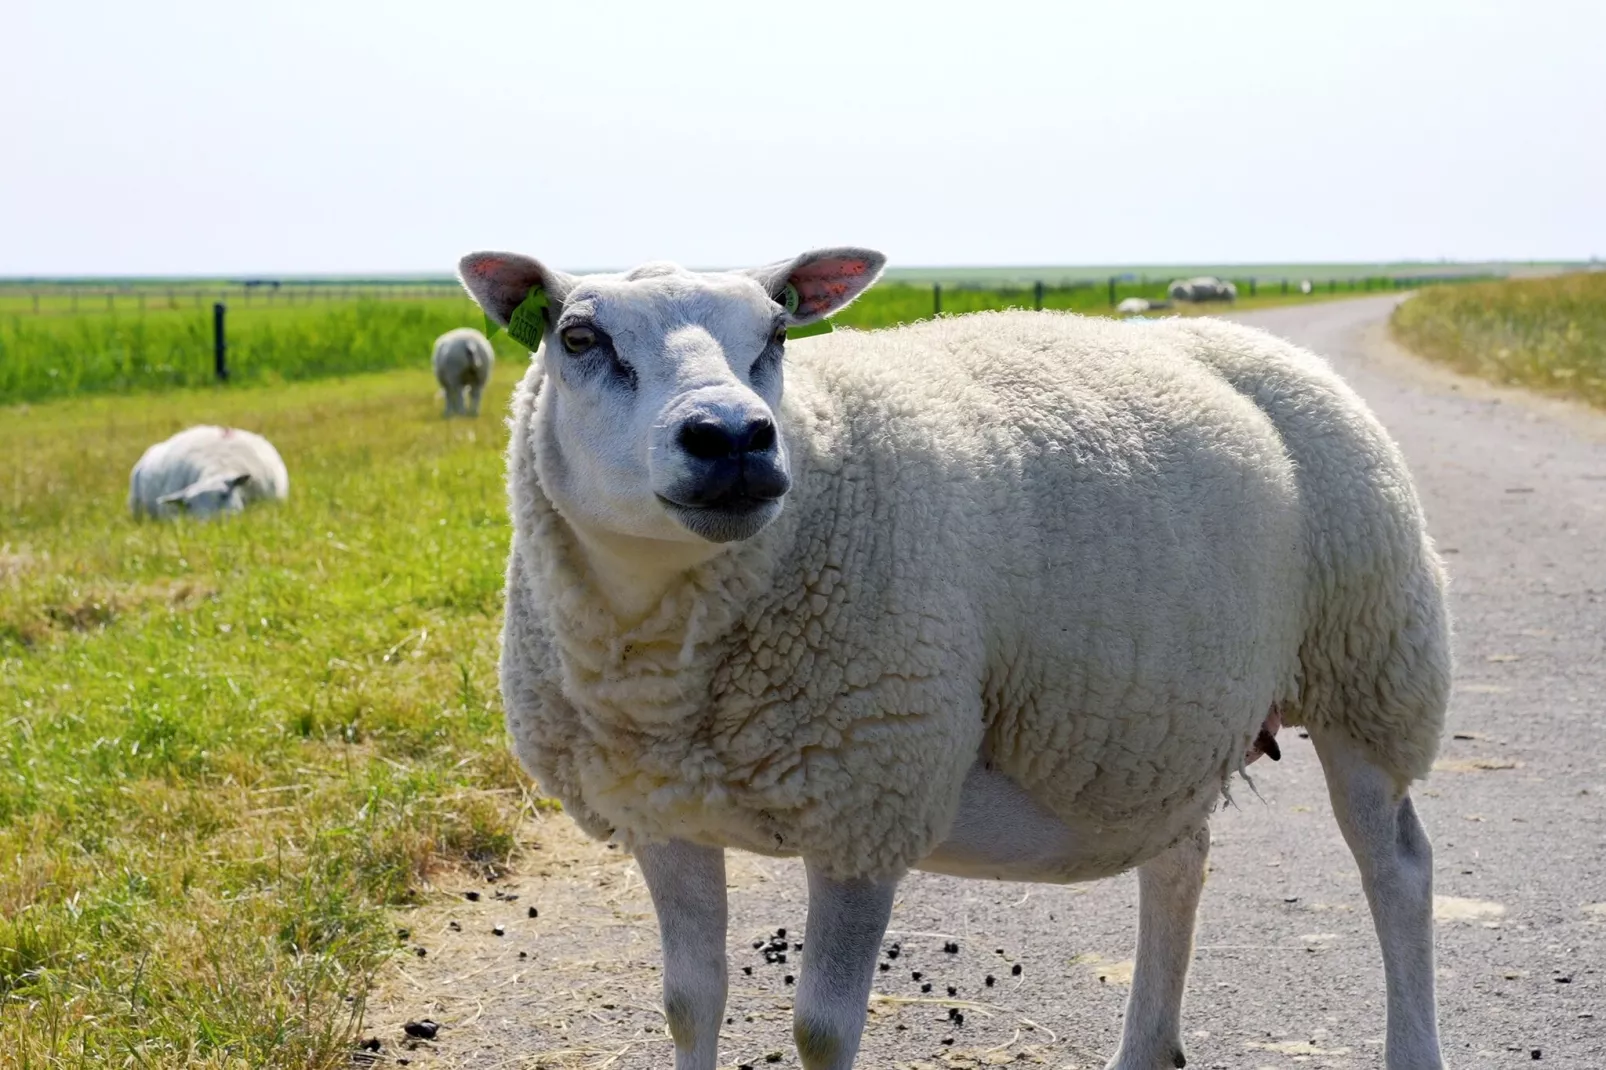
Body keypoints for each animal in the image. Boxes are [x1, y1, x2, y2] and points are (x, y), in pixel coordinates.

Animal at [465, 244, 1458, 1066]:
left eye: (778, 333)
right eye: (579, 337)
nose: (735, 438)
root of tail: (1264, 345)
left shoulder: (870, 798)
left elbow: (821, 1031)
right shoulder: (659, 814)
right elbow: (688, 1004)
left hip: (1371, 669)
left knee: (1400, 870)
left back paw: (1411, 1045)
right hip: (1158, 726)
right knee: (1180, 862)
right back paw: (1144, 1049)